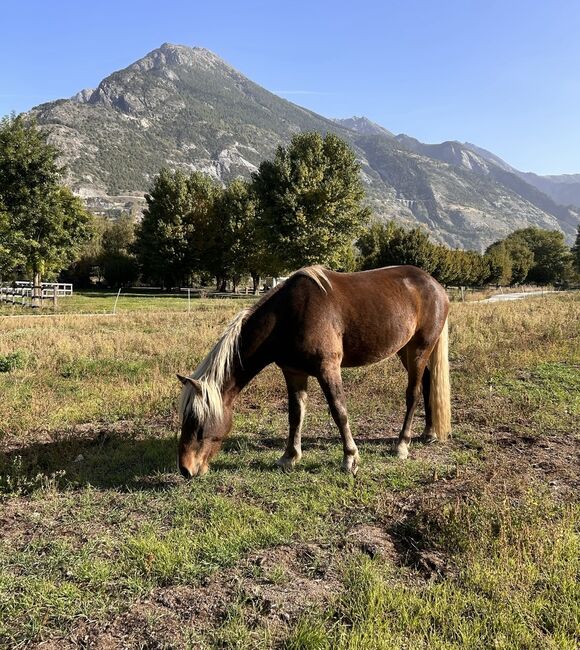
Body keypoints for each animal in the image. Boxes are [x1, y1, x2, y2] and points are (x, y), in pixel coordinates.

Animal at [176, 264, 448, 476]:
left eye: (197, 423)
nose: (186, 469)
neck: (287, 316)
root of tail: (435, 285)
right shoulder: (294, 372)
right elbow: (295, 415)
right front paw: (289, 457)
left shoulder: (328, 369)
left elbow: (339, 411)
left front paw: (350, 458)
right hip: (405, 350)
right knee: (427, 382)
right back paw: (429, 432)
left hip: (419, 349)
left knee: (412, 393)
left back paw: (402, 444)